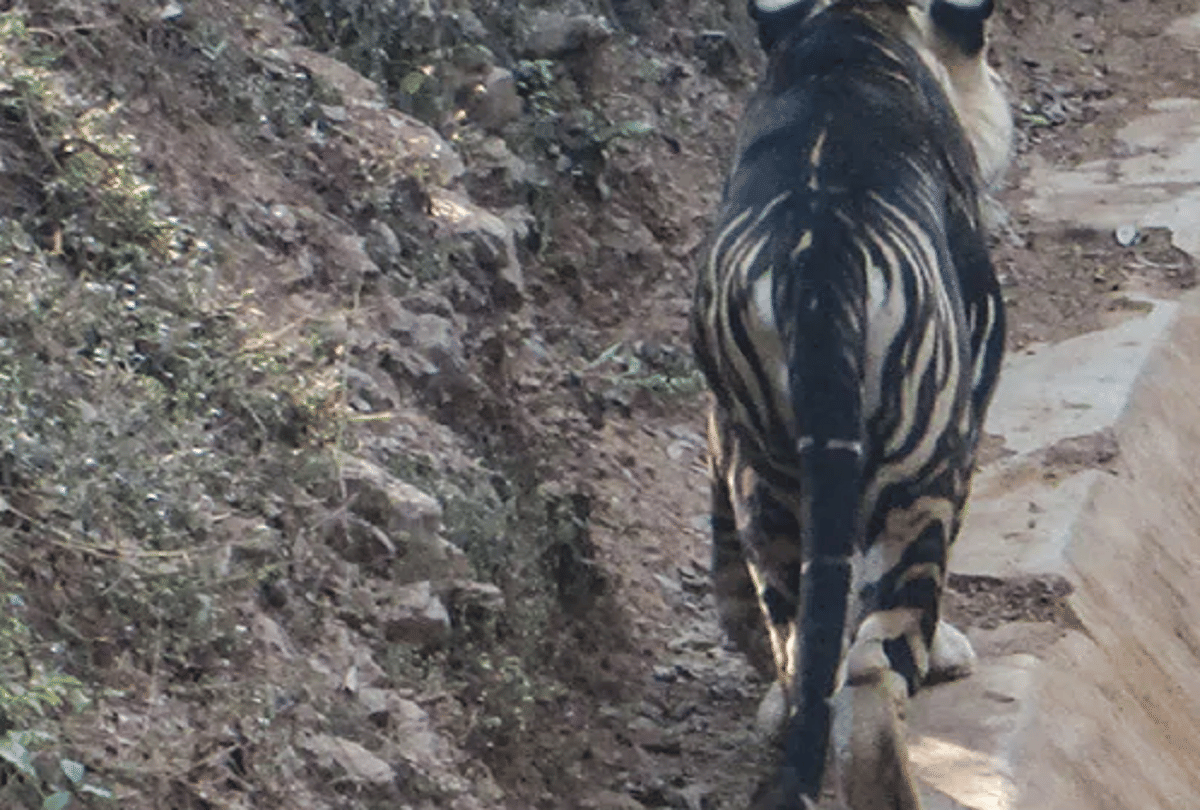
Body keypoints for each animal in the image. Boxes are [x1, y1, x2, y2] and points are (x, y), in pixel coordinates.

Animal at [689, 0, 1012, 807]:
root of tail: (820, 264)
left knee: (805, 647)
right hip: (918, 481)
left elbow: (731, 587)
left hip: (773, 484)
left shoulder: (721, 436)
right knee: (872, 671)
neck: (853, 23)